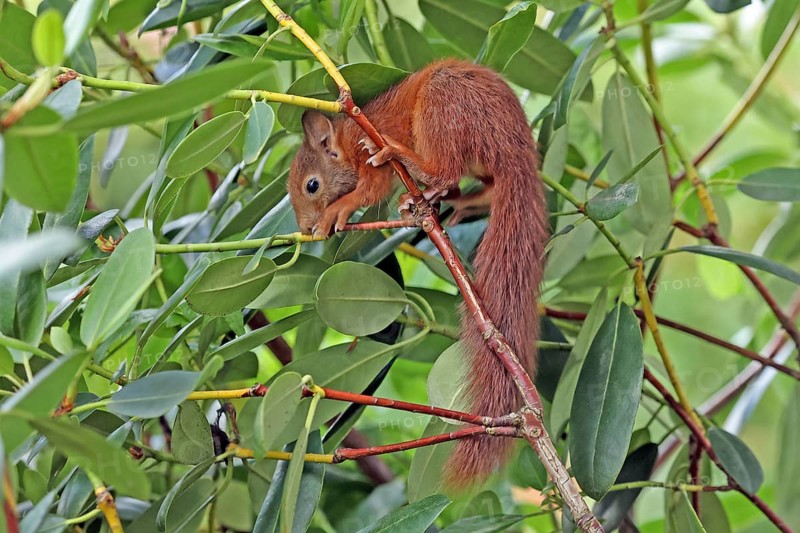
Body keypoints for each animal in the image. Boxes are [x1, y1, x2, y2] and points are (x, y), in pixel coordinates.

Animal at [288, 59, 548, 486]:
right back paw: (447, 199)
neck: (347, 137)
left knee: (446, 169)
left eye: (312, 186)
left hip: (442, 108)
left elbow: (367, 192)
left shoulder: (367, 160)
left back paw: (410, 163)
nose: (307, 229)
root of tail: (515, 141)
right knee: (477, 183)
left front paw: (335, 214)